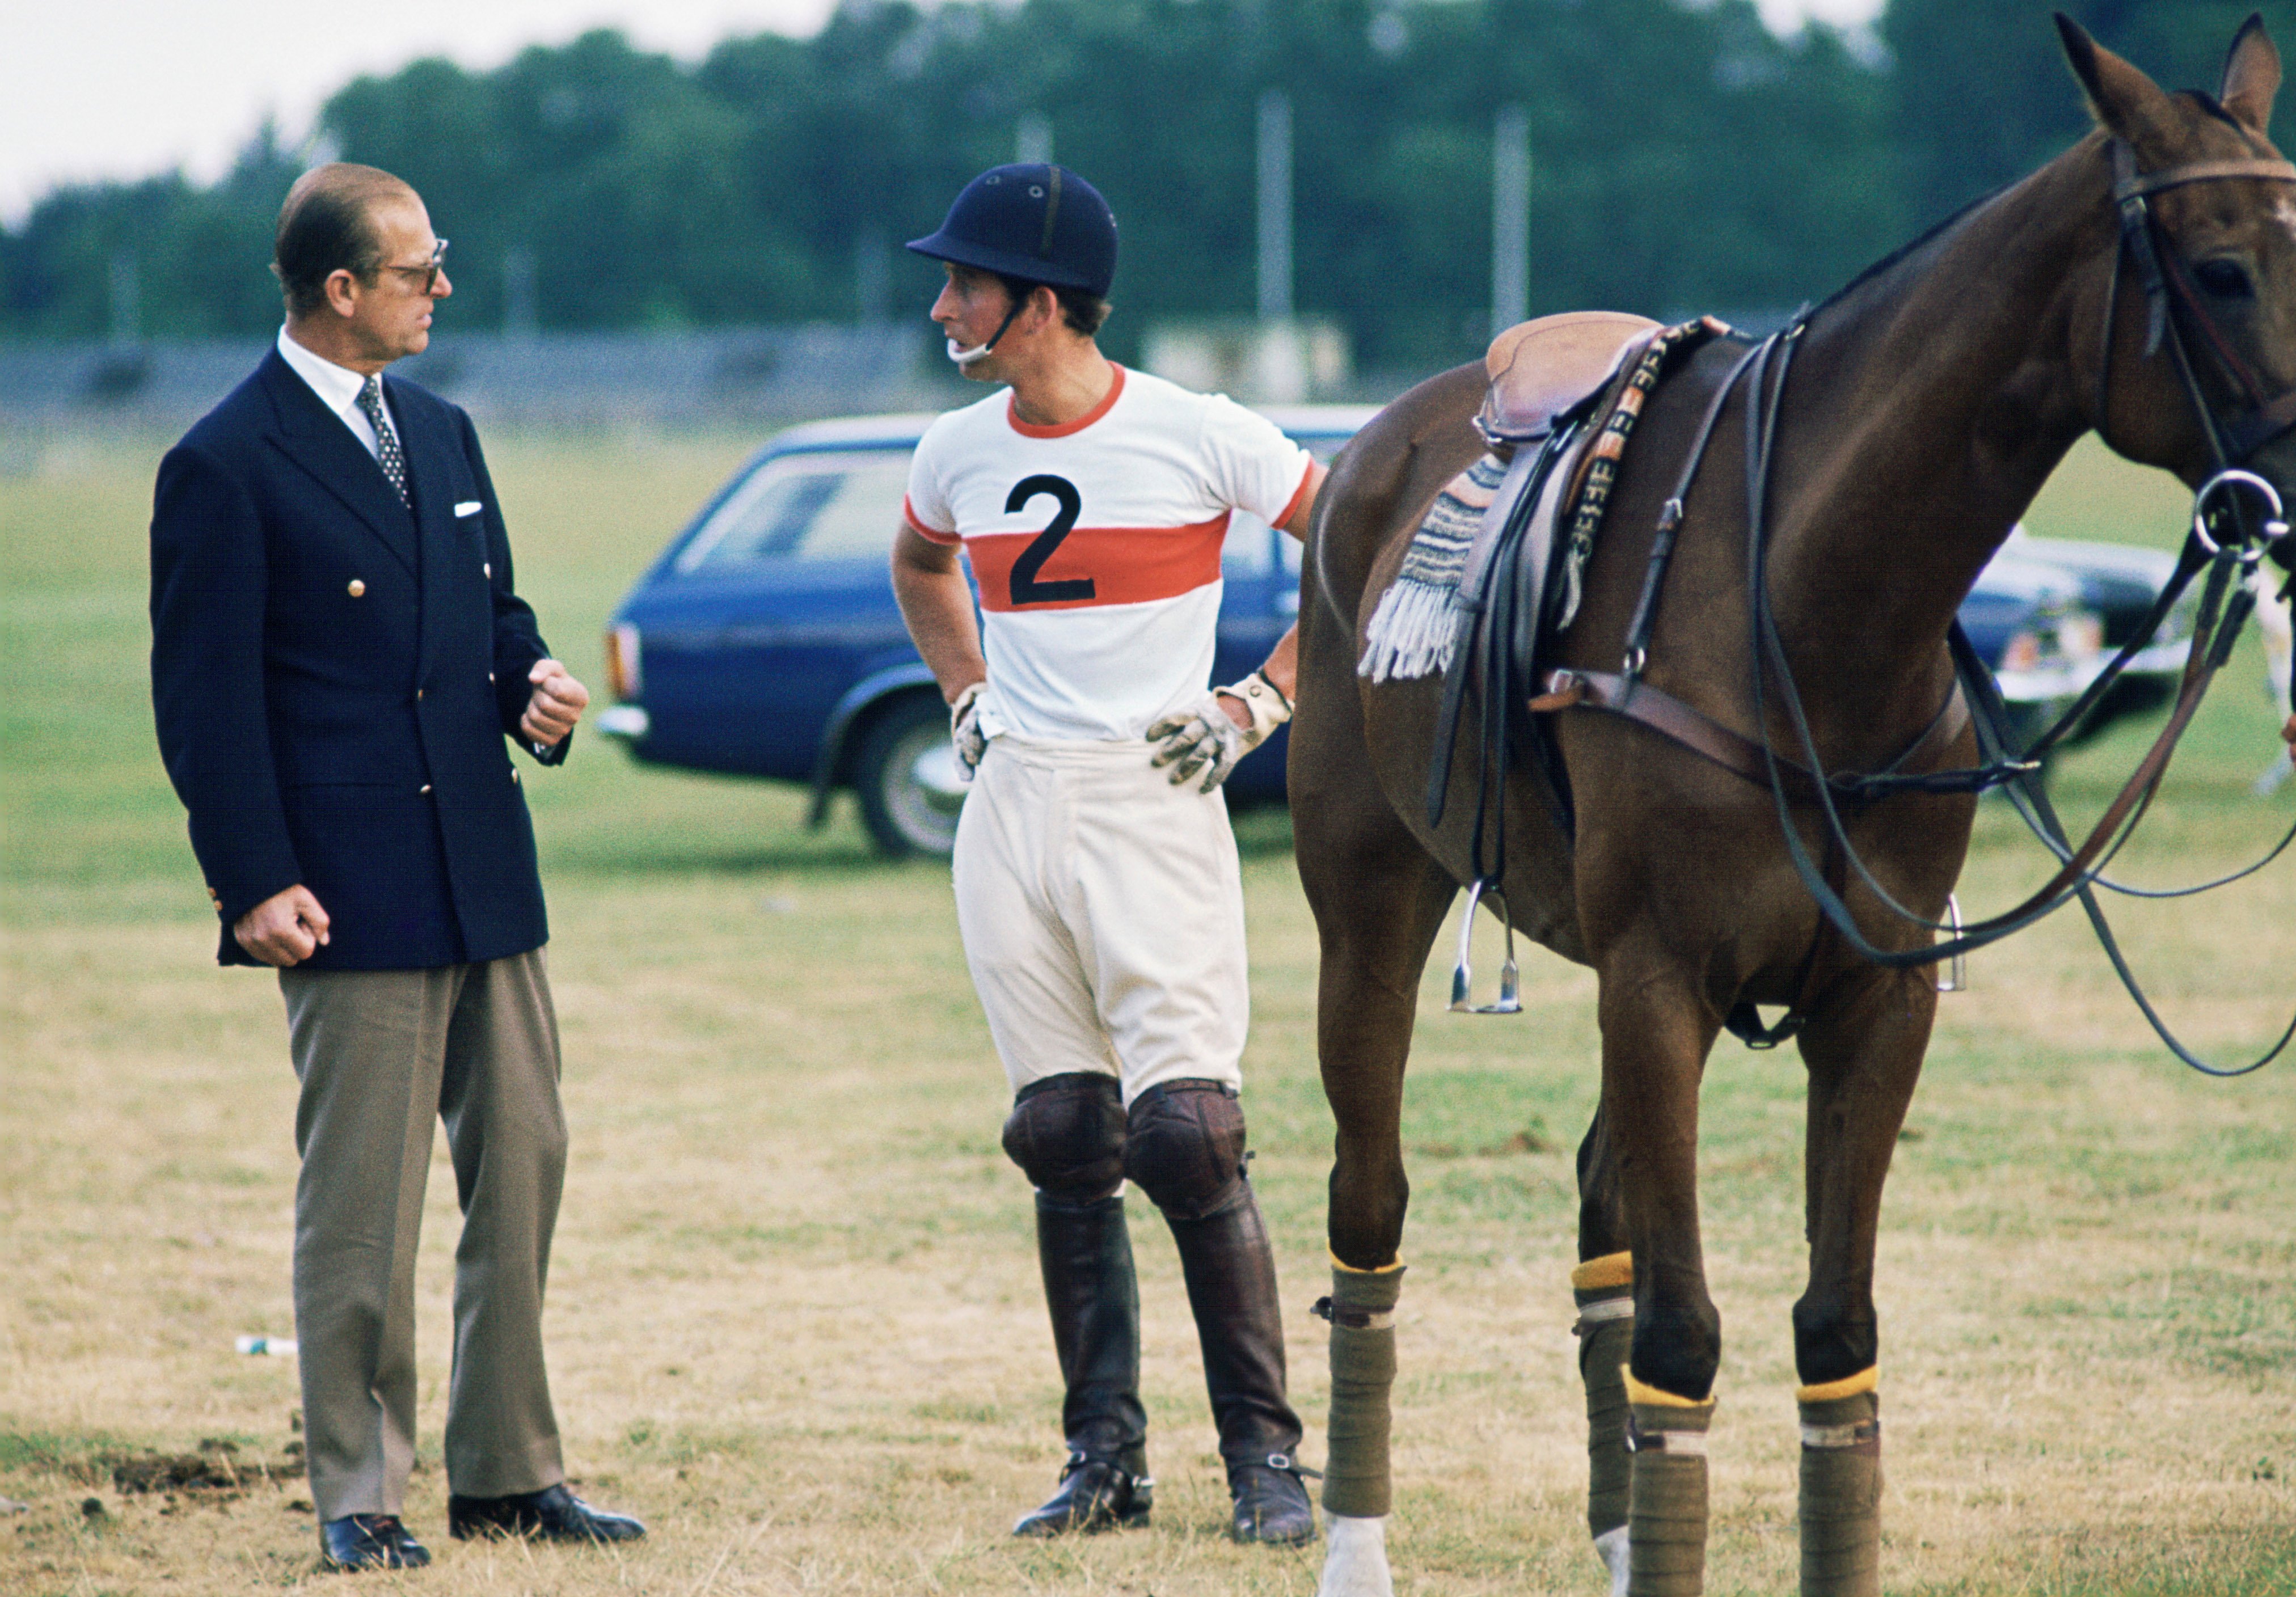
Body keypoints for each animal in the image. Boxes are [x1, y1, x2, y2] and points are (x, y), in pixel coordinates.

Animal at [1295, 15, 2295, 1597]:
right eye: (2215, 268)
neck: (1811, 605)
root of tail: (1365, 456)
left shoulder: (1874, 998)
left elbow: (1832, 1334)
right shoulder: (1657, 977)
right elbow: (1681, 1335)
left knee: (1601, 1210)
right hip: (1371, 909)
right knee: (1370, 1209)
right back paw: (1355, 1544)